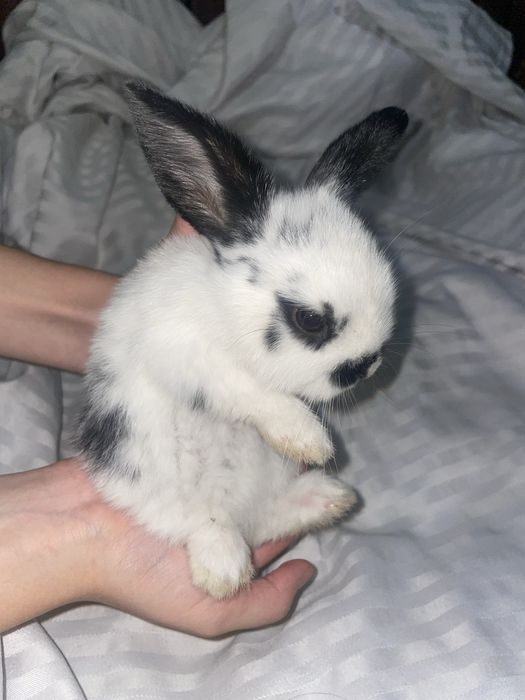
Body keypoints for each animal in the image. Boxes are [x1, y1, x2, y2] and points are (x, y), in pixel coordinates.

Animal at [77, 82, 408, 599]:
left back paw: (329, 498)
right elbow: (253, 391)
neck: (224, 313)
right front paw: (309, 439)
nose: (366, 365)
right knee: (203, 522)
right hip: (152, 479)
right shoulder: (189, 355)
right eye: (309, 320)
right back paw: (226, 571)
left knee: (267, 518)